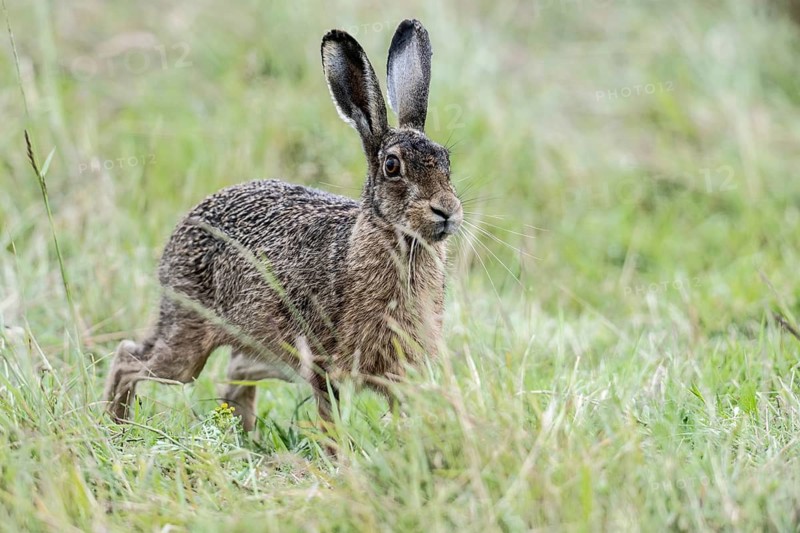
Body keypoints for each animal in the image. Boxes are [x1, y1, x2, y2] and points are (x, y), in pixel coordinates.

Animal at [103, 19, 463, 431]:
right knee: (129, 359)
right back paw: (116, 426)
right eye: (392, 166)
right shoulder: (322, 361)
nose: (446, 211)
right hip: (187, 339)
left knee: (235, 376)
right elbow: (330, 421)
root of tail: (183, 227)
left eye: (446, 160)